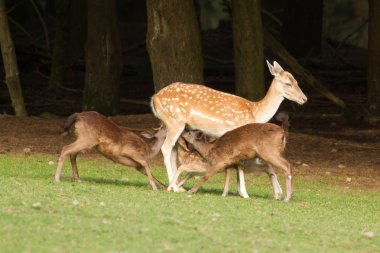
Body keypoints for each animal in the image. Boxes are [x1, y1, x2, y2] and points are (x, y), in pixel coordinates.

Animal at [150, 60, 308, 192]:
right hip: (174, 121)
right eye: (288, 83)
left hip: (172, 124)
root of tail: (154, 98)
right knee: (166, 148)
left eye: (296, 80)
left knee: (173, 151)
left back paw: (178, 187)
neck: (254, 113)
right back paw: (173, 187)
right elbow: (241, 164)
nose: (304, 98)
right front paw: (243, 192)